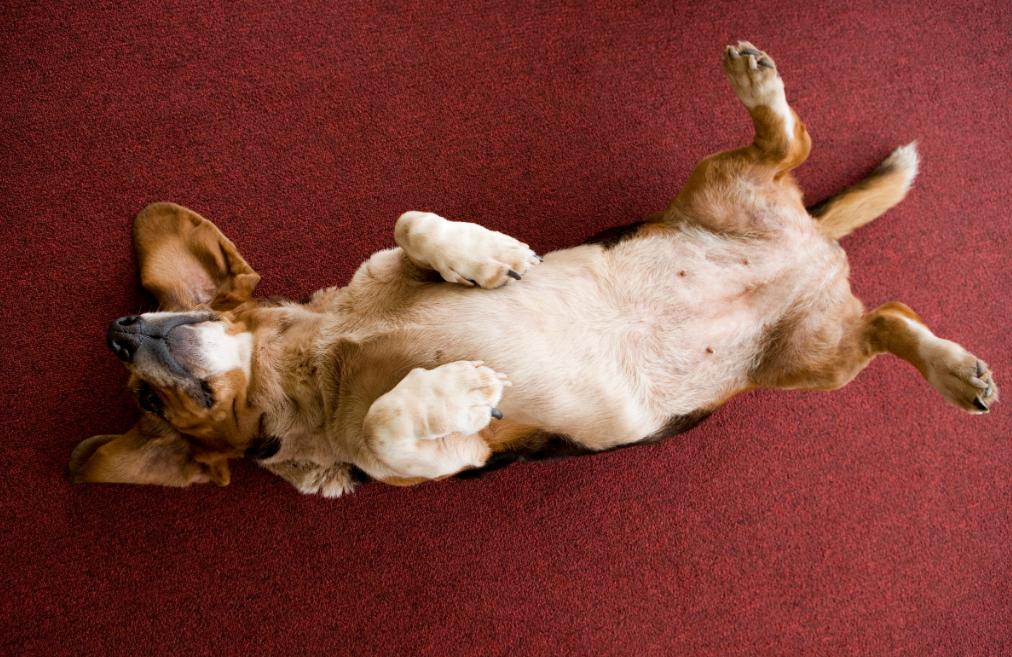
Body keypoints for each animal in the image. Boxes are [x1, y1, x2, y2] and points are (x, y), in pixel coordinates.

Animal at [69, 43, 995, 494]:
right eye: (146, 402)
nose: (120, 329)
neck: (318, 364)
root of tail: (811, 245)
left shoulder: (388, 259)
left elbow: (410, 224)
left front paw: (486, 256)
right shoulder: (445, 459)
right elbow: (384, 426)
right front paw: (456, 385)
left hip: (721, 195)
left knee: (792, 144)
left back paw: (755, 81)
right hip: (814, 360)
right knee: (889, 315)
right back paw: (956, 372)